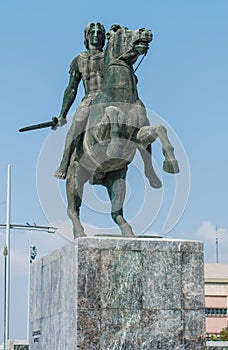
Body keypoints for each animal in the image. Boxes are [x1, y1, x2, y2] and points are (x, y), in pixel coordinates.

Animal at [65, 23, 179, 238]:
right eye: (119, 30)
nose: (145, 31)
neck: (121, 95)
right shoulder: (97, 135)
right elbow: (112, 112)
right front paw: (115, 147)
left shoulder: (138, 135)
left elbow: (159, 129)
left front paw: (171, 163)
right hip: (75, 176)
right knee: (72, 209)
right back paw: (79, 233)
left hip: (117, 179)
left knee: (115, 212)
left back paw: (128, 232)